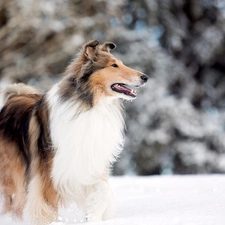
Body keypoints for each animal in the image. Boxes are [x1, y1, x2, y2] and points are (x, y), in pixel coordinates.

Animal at [0, 39, 148, 224]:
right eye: (114, 65)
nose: (145, 77)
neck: (89, 105)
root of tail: (14, 96)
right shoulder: (49, 173)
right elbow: (47, 206)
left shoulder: (86, 166)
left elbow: (103, 190)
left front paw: (93, 216)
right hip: (14, 172)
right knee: (14, 201)